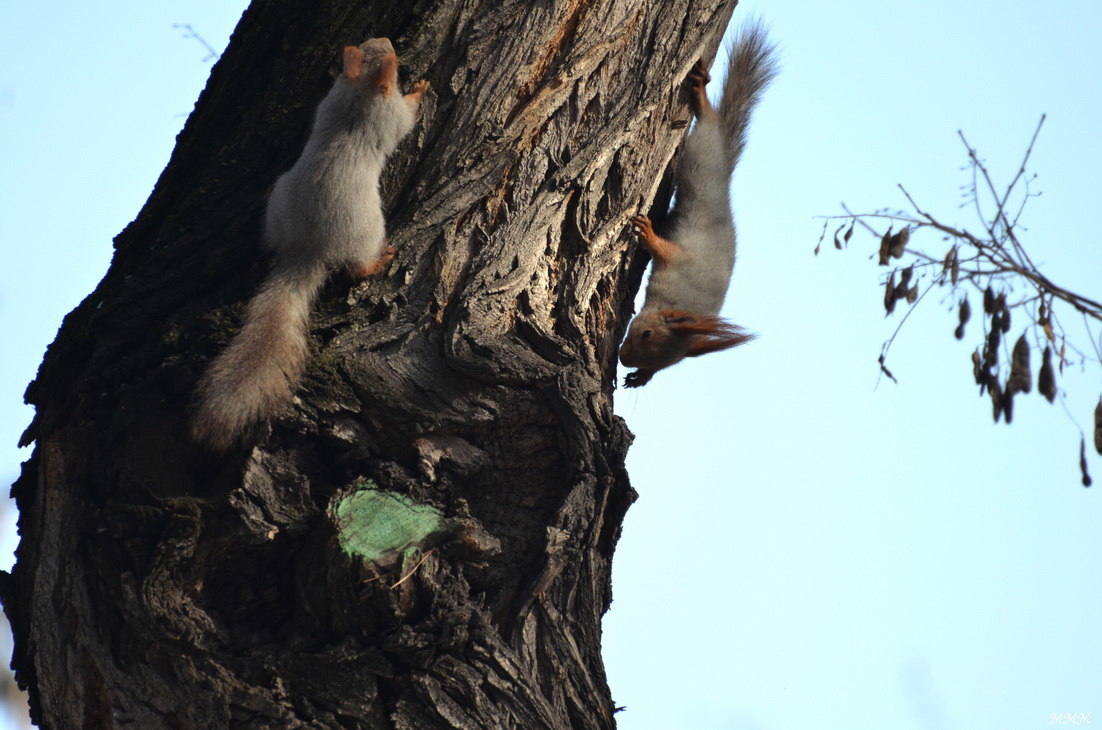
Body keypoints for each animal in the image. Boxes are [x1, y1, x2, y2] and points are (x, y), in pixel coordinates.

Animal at [189, 39, 429, 454]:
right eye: (392, 61)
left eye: (369, 45)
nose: (387, 42)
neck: (357, 91)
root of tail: (306, 250)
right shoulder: (390, 115)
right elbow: (408, 116)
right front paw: (421, 88)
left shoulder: (330, 99)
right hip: (369, 229)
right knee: (356, 267)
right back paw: (379, 259)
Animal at [621, 26, 775, 388]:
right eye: (646, 334)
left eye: (666, 365)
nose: (623, 360)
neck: (684, 300)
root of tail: (725, 171)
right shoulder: (678, 260)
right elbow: (663, 248)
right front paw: (647, 233)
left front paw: (640, 378)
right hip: (701, 156)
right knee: (708, 120)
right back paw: (701, 95)